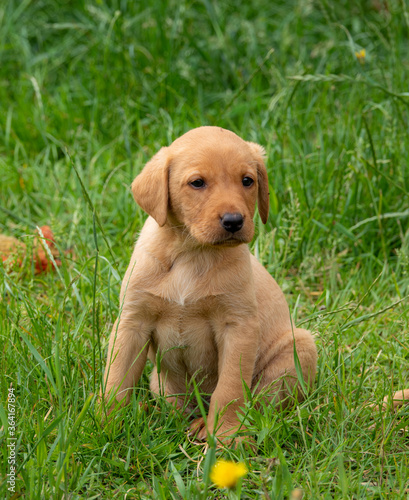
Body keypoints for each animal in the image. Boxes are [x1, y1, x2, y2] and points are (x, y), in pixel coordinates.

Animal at [103, 128, 318, 442]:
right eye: (197, 183)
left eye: (247, 181)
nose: (234, 221)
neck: (191, 252)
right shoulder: (132, 321)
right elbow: (116, 378)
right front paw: (104, 423)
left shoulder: (238, 326)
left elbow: (229, 389)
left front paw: (227, 436)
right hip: (161, 383)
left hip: (298, 349)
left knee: (260, 404)